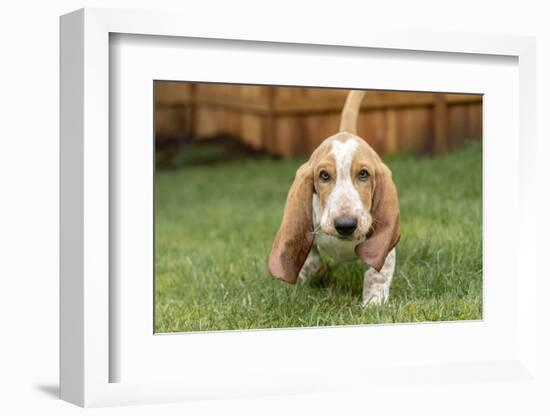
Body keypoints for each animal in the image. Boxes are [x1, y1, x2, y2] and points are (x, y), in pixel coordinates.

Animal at [268, 90, 402, 306]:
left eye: (363, 174)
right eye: (324, 175)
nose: (345, 225)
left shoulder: (384, 248)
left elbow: (378, 273)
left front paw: (373, 303)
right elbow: (311, 260)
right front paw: (319, 276)